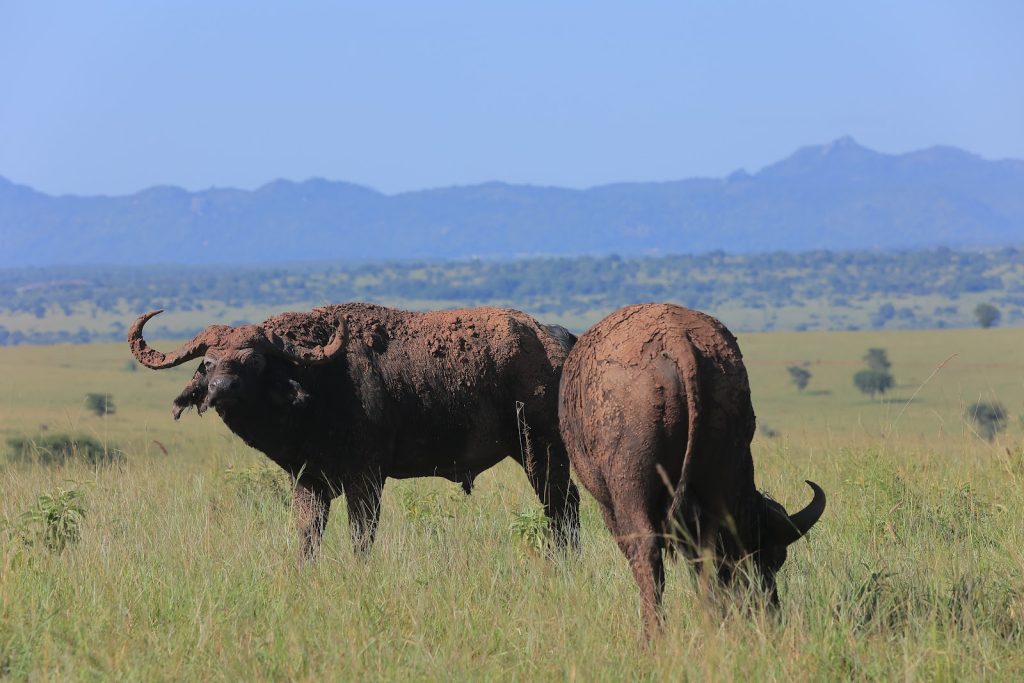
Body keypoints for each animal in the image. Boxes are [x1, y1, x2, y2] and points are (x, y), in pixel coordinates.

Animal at [129, 303, 580, 560]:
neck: (319, 384)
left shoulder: (365, 476)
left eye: (253, 360)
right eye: (208, 363)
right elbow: (308, 534)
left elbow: (361, 534)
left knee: (561, 505)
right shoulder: (308, 478)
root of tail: (554, 337)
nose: (220, 389)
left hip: (539, 450)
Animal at [558, 303, 825, 635]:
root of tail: (679, 345)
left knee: (648, 554)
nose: (769, 610)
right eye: (775, 557)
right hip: (715, 480)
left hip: (630, 490)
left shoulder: (609, 507)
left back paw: (652, 635)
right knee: (707, 556)